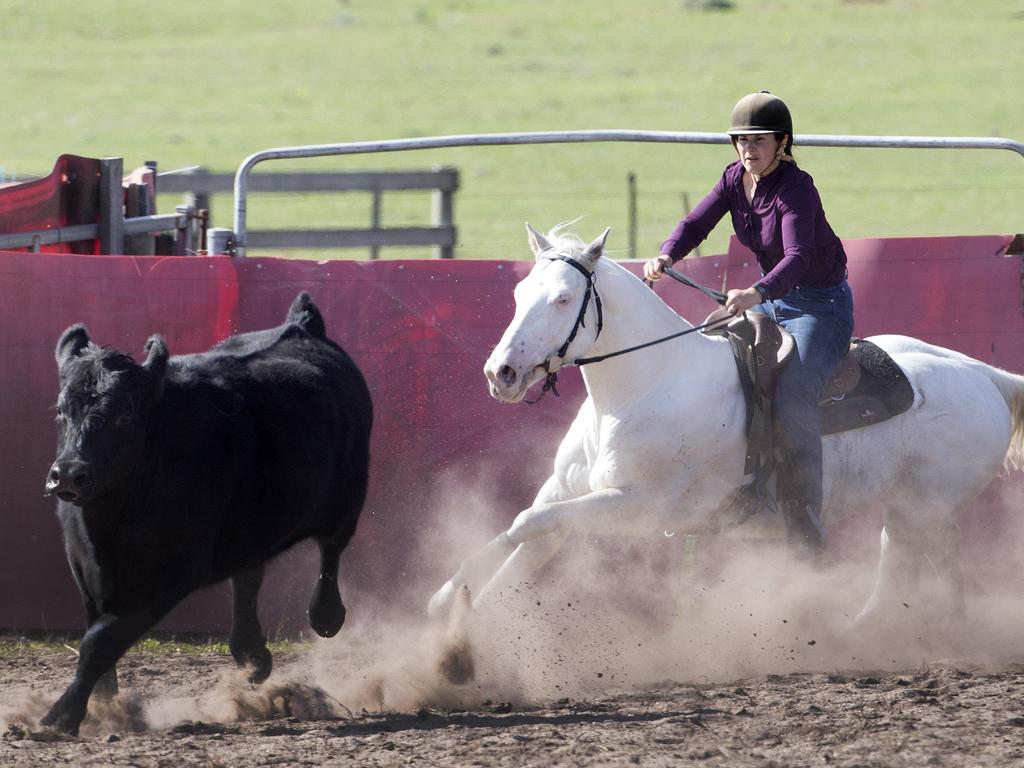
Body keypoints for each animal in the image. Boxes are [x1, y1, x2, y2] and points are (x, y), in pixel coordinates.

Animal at [43, 292, 376, 733]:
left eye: (123, 416)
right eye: (61, 410)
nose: (68, 474)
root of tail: (301, 326)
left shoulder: (168, 578)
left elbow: (98, 643)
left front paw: (59, 717)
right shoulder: (86, 573)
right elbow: (97, 643)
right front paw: (103, 708)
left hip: (346, 496)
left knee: (331, 551)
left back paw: (325, 615)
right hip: (251, 526)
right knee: (249, 577)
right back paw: (252, 655)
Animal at [428, 225, 1024, 634]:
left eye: (563, 298)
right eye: (517, 295)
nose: (501, 373)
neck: (647, 383)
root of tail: (983, 375)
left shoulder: (636, 505)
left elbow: (530, 523)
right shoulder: (568, 490)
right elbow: (526, 531)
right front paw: (453, 605)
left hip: (923, 508)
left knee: (914, 568)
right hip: (912, 510)